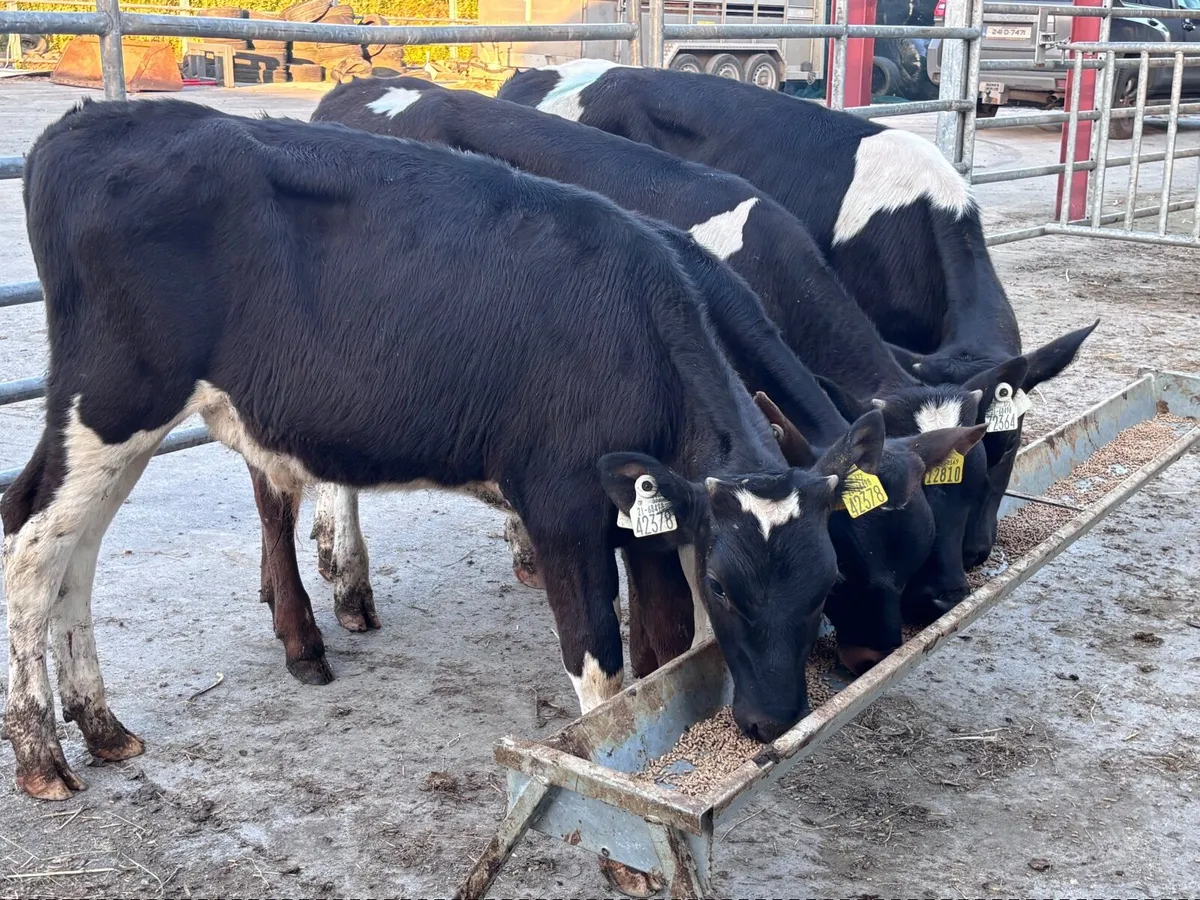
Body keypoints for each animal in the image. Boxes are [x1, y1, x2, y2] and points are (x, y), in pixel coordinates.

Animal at [2, 98, 892, 803]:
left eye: (827, 582)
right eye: (726, 584)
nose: (773, 721)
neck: (634, 318)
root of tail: (87, 122)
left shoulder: (646, 512)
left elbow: (669, 645)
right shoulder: (562, 507)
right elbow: (600, 663)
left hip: (126, 423)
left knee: (79, 550)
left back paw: (103, 726)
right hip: (112, 399)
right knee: (33, 543)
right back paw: (43, 753)